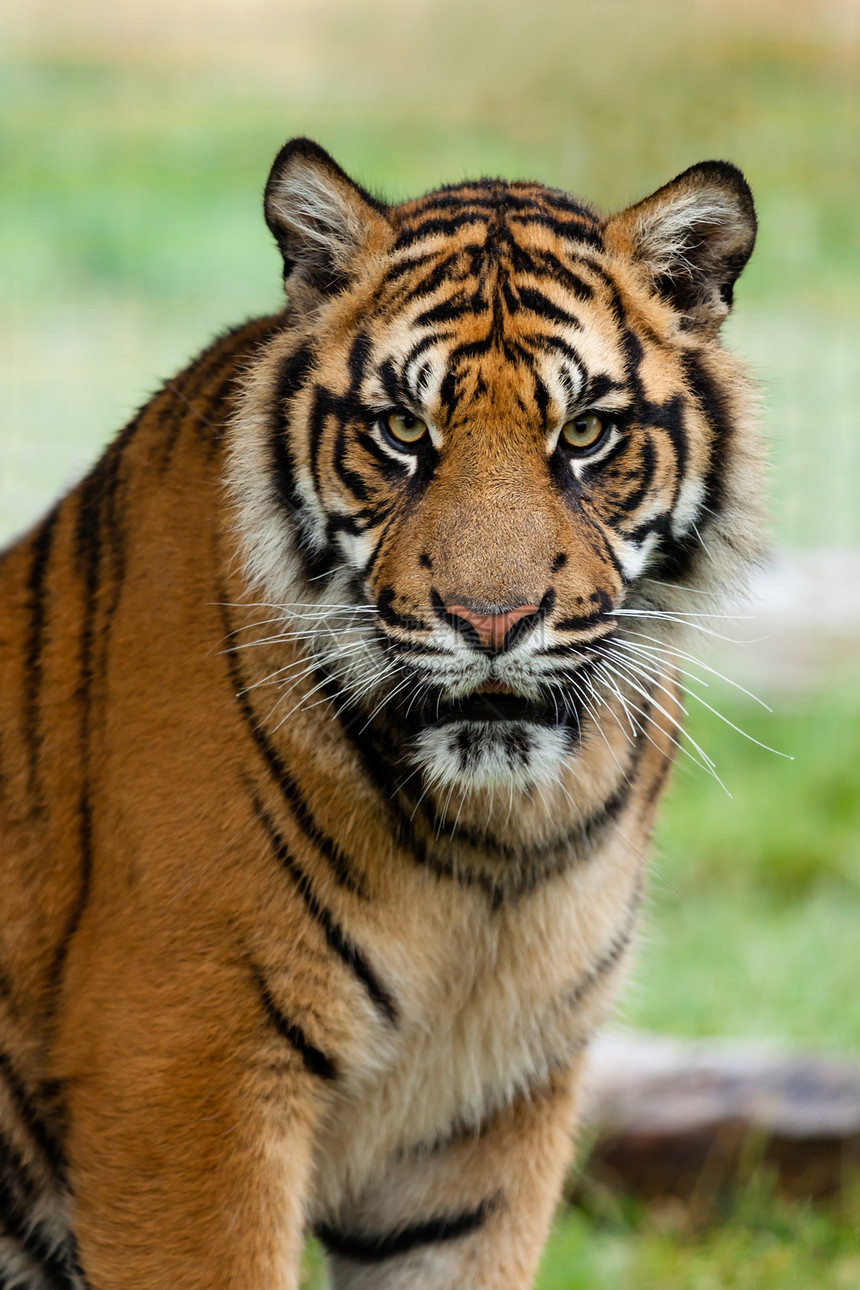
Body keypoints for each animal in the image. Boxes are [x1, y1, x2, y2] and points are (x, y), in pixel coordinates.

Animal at [0, 136, 768, 1284]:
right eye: (404, 429)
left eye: (585, 432)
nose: (492, 620)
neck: (494, 850)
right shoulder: (178, 1072)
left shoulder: (481, 1124)